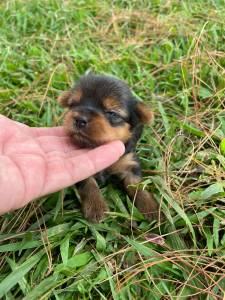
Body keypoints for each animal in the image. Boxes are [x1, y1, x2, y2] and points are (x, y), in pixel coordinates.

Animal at [58, 73, 160, 223]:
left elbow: (136, 184)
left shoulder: (129, 161)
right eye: (73, 104)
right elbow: (88, 183)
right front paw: (96, 207)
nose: (79, 119)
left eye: (112, 113)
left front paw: (150, 208)